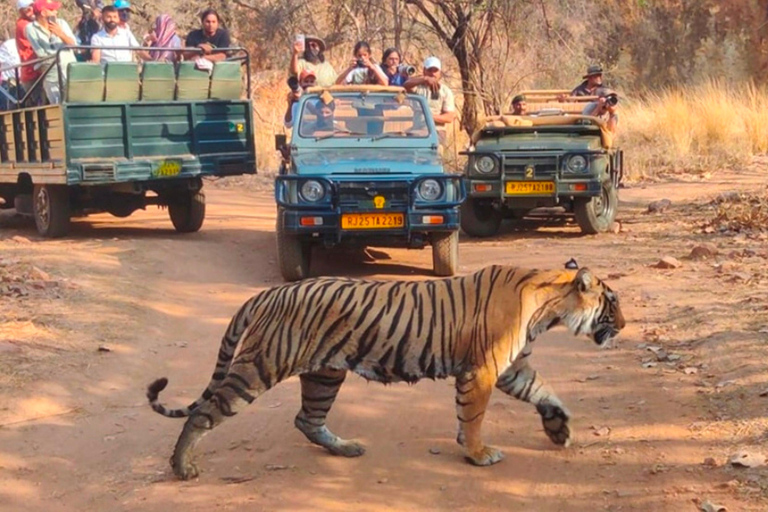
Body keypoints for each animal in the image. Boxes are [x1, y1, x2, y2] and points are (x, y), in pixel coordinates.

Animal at [147, 264, 628, 480]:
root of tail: (269, 293)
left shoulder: (511, 368)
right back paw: (182, 466)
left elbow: (545, 392)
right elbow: (473, 418)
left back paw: (346, 449)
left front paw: (559, 429)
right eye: (613, 303)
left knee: (307, 418)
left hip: (324, 373)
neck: (548, 307)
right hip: (260, 367)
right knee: (203, 412)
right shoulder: (483, 371)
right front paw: (476, 454)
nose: (624, 326)